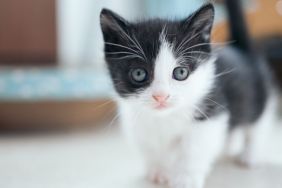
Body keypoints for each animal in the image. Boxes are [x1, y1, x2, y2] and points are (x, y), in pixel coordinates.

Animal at [99, 1, 278, 188]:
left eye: (181, 72)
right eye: (139, 74)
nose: (161, 96)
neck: (165, 118)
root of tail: (242, 51)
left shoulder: (211, 112)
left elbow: (195, 148)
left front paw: (185, 178)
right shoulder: (136, 121)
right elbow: (149, 146)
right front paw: (159, 170)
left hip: (260, 97)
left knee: (257, 126)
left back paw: (250, 155)